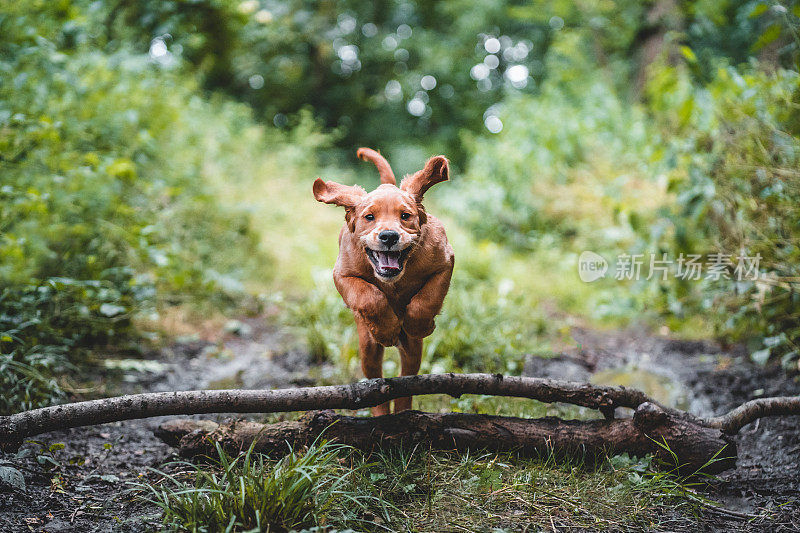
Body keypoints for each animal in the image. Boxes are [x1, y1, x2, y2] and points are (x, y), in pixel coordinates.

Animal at [312, 148, 454, 414]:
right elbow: (369, 296)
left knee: (407, 380)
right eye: (369, 217)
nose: (389, 236)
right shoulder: (342, 274)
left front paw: (419, 325)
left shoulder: (445, 261)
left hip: (412, 351)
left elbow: (428, 299)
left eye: (405, 216)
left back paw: (404, 411)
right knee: (376, 382)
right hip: (367, 347)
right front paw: (387, 330)